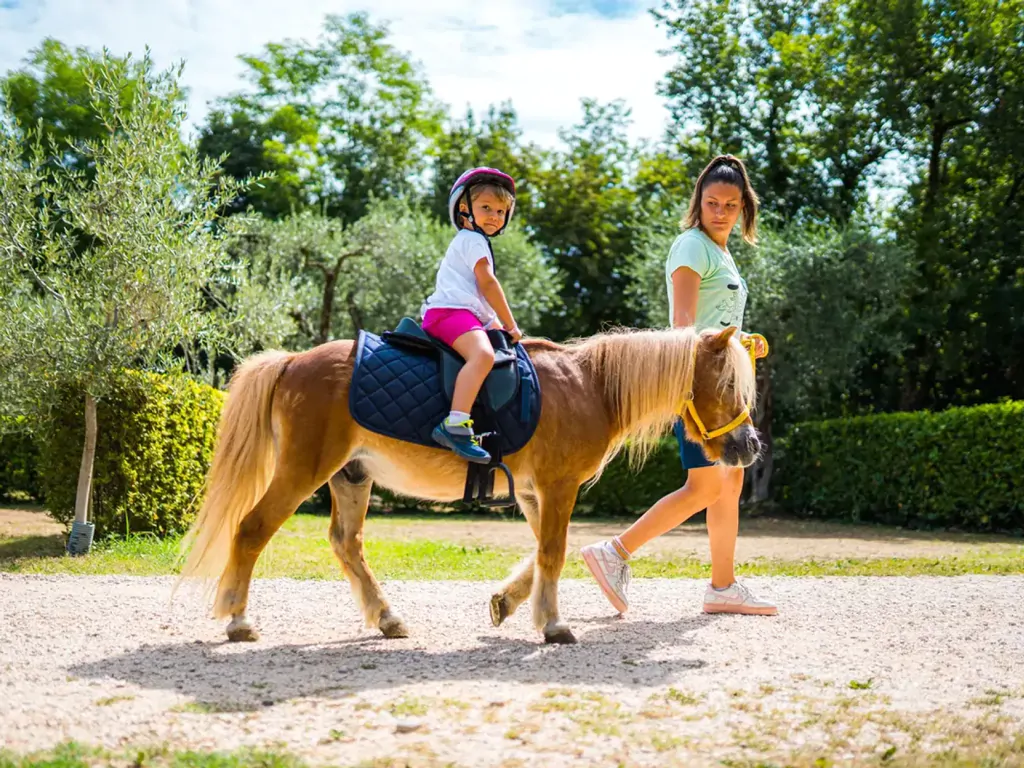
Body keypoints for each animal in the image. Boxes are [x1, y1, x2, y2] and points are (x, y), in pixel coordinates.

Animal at [176, 325, 759, 645]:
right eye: (729, 382)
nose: (750, 445)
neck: (589, 387)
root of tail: (294, 360)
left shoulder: (533, 492)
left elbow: (546, 553)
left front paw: (508, 602)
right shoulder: (558, 486)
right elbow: (553, 553)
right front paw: (553, 625)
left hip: (351, 477)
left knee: (347, 544)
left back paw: (387, 618)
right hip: (302, 471)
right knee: (251, 529)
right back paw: (237, 621)